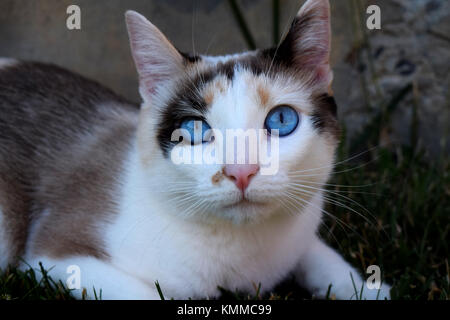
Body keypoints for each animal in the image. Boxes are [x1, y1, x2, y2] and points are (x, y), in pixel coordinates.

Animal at [0, 0, 390, 300]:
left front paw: (368, 289)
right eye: (194, 130)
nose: (241, 171)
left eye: (281, 120)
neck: (244, 253)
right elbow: (146, 296)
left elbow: (321, 256)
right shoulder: (55, 254)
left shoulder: (298, 232)